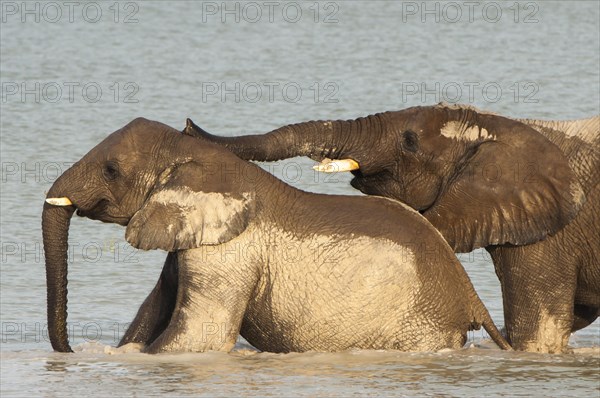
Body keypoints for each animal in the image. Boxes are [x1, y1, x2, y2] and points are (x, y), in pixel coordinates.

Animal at [43, 116, 510, 352]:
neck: (196, 155)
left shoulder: (230, 254)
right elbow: (151, 314)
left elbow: (200, 338)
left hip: (421, 325)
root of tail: (472, 298)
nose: (69, 353)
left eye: (111, 170)